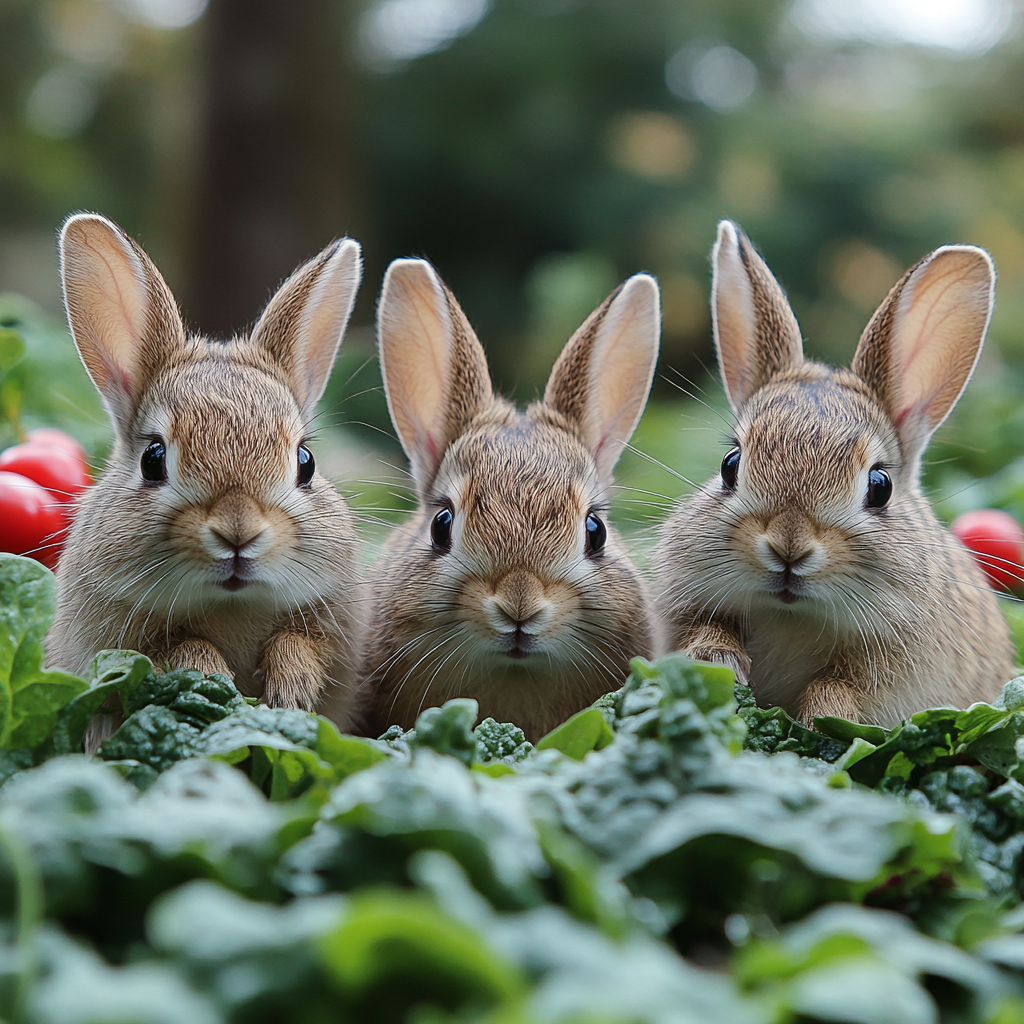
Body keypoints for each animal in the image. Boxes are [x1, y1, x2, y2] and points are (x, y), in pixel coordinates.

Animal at [45, 213, 366, 736]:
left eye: (306, 462)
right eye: (152, 459)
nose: (239, 534)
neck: (229, 604)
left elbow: (303, 644)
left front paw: (289, 690)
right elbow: (173, 650)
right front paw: (213, 679)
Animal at [655, 219, 1015, 728]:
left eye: (880, 486)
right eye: (730, 466)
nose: (789, 547)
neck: (793, 614)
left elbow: (842, 685)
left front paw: (821, 719)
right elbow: (705, 628)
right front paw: (716, 664)